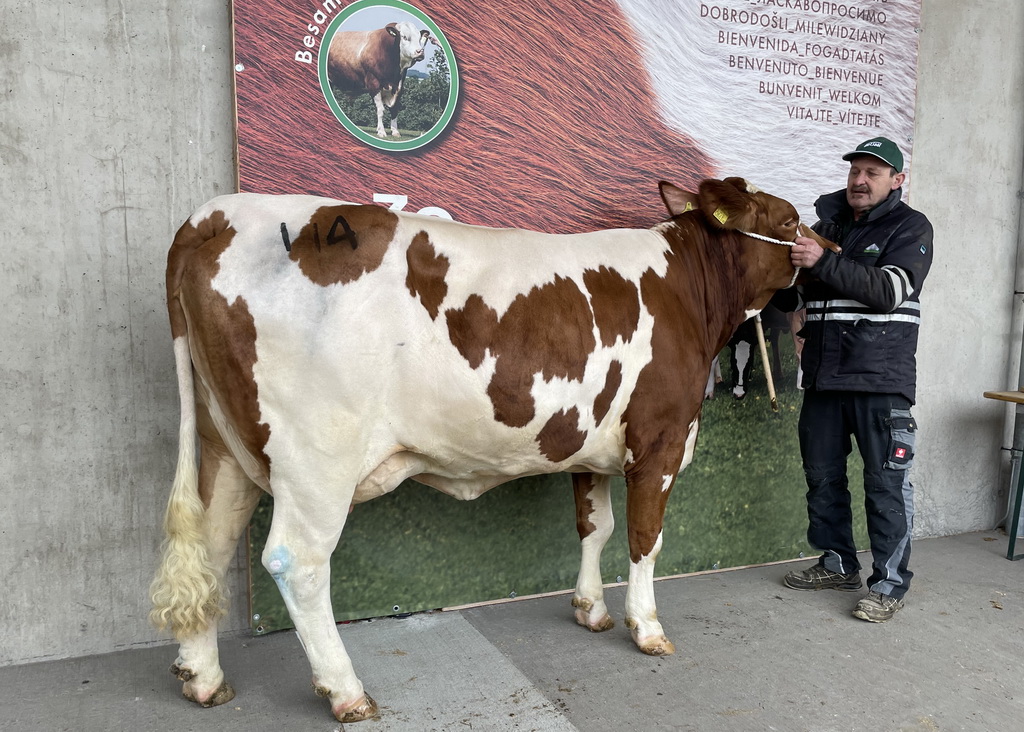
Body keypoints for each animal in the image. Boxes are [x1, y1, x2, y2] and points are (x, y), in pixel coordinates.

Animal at [151, 176, 835, 720]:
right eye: (786, 220)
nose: (826, 248)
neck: (686, 290)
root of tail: (213, 216)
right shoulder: (660, 440)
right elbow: (645, 539)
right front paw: (647, 627)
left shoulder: (588, 447)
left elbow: (595, 526)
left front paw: (590, 608)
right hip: (317, 456)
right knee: (297, 561)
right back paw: (346, 691)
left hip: (223, 445)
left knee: (211, 545)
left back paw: (203, 677)